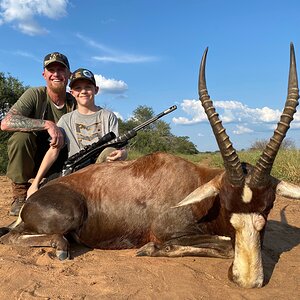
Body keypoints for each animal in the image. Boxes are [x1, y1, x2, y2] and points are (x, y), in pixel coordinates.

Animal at [0, 44, 300, 288]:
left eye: (268, 206)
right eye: (227, 204)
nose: (248, 281)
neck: (197, 186)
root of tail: (32, 200)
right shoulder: (172, 232)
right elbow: (226, 245)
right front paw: (150, 249)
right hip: (67, 216)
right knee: (14, 238)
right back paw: (60, 247)